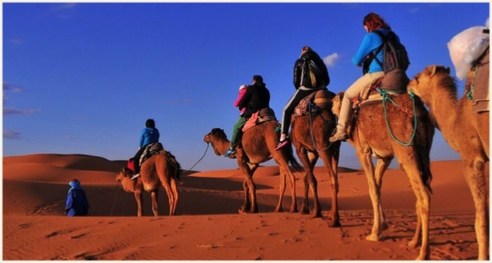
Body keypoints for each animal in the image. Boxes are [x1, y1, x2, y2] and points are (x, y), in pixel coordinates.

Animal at [288, 89, 342, 227]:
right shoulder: (313, 151)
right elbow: (307, 177)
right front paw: (304, 208)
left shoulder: (300, 148)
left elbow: (311, 179)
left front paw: (316, 211)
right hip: (335, 148)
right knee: (336, 178)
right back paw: (333, 216)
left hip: (323, 147)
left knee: (332, 179)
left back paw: (334, 220)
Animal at [330, 87, 434, 260]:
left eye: (333, 102)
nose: (331, 106)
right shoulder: (385, 157)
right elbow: (378, 187)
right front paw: (383, 226)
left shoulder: (363, 151)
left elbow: (372, 188)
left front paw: (374, 233)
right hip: (422, 153)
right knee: (419, 194)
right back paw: (413, 242)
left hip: (406, 150)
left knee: (424, 196)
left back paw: (423, 253)